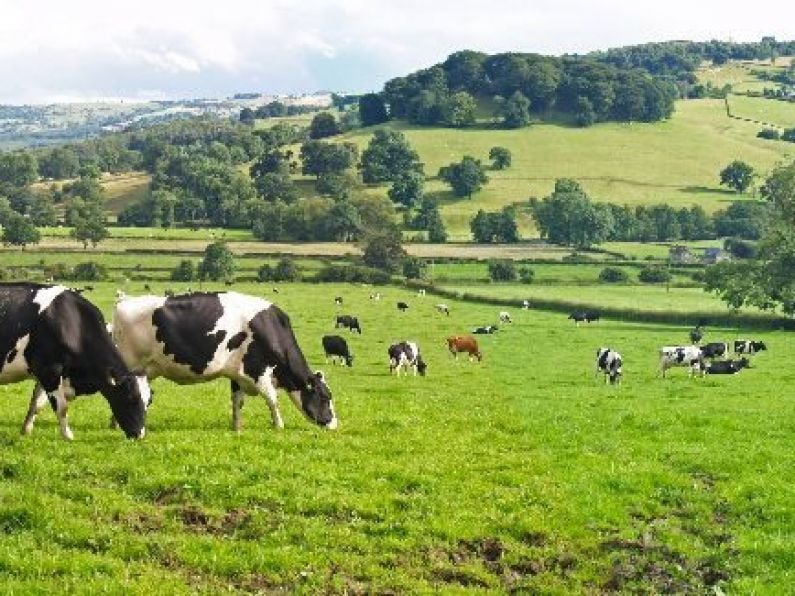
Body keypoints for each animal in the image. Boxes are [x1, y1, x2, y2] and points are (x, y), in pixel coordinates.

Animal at [1, 282, 151, 440]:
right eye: (131, 398)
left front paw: (26, 430)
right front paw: (68, 436)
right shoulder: (49, 370)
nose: (139, 434)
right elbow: (61, 407)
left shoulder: (45, 374)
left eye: (149, 402)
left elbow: (36, 404)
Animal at [112, 294, 336, 434]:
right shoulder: (258, 370)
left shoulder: (238, 374)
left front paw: (236, 427)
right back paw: (117, 424)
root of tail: (125, 300)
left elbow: (237, 402)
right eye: (325, 397)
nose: (334, 425)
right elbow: (273, 399)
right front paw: (279, 425)